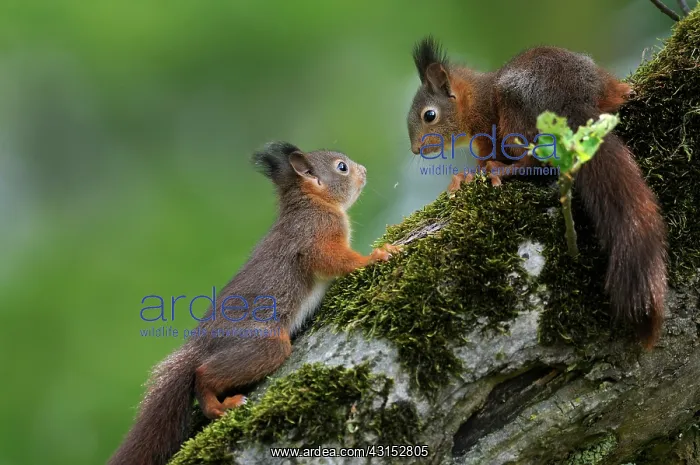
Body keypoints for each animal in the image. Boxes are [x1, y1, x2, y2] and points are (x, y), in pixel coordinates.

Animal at [109, 142, 400, 465]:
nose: (364, 171)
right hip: (261, 343)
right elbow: (332, 259)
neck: (312, 202)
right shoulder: (314, 234)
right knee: (204, 373)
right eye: (342, 167)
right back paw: (219, 406)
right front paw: (375, 255)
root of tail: (200, 344)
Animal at [407, 37, 667, 349]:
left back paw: (503, 171)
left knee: (531, 160)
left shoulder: (487, 130)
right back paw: (627, 91)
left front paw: (466, 176)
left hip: (514, 113)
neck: (474, 97)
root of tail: (570, 99)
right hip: (599, 85)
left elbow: (486, 158)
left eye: (429, 115)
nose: (415, 150)